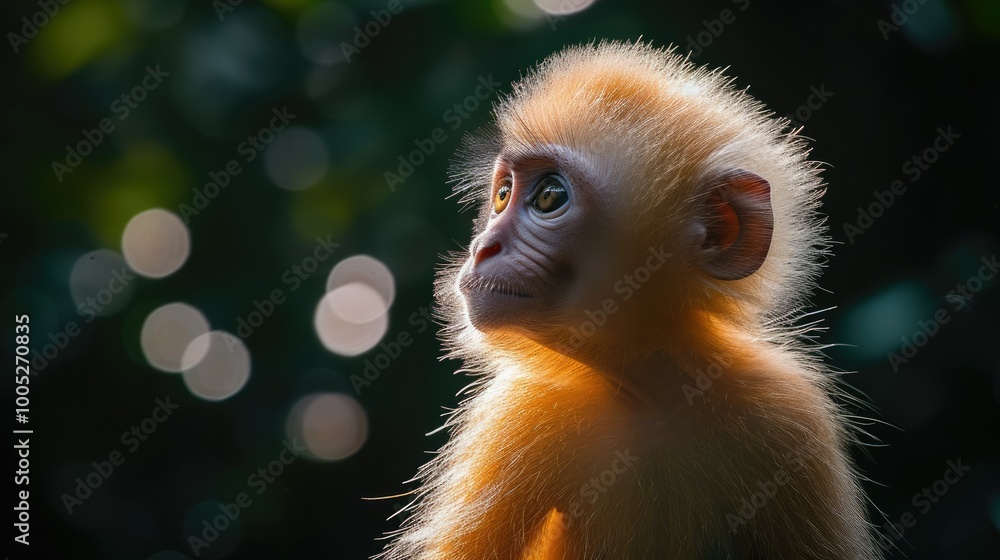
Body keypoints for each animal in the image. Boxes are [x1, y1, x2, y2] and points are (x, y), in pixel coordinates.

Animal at [378, 41, 881, 559]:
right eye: (502, 195)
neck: (652, 395)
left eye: (549, 197)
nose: (484, 247)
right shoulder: (520, 413)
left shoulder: (791, 415)